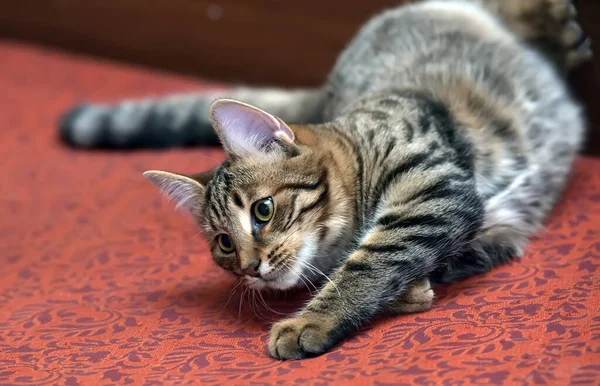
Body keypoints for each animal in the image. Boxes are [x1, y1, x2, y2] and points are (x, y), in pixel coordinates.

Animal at [61, 0, 592, 358]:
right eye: (224, 244)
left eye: (263, 211)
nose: (250, 269)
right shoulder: (479, 220)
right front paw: (413, 290)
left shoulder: (428, 189)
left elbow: (370, 262)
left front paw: (310, 320)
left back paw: (549, 21)